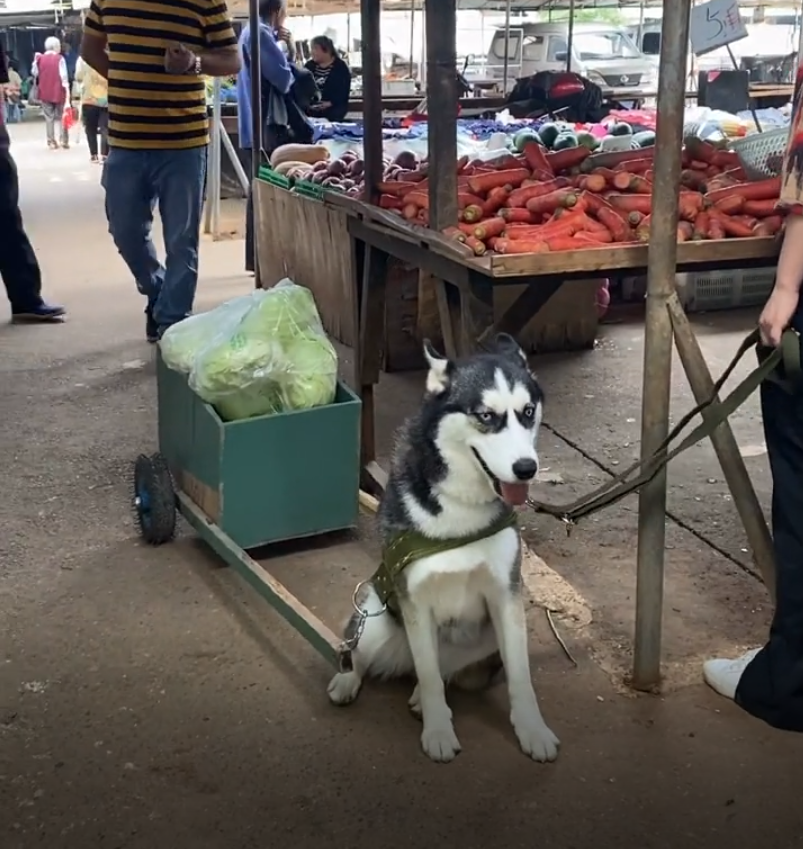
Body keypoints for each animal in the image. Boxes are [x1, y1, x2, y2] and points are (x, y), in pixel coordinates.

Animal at [326, 332, 560, 760]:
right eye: (485, 416)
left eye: (528, 411)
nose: (526, 469)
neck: (462, 506)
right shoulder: (415, 600)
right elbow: (430, 673)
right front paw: (438, 732)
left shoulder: (506, 597)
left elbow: (519, 677)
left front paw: (532, 730)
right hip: (376, 620)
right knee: (363, 651)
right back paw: (349, 679)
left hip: (485, 640)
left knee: (445, 670)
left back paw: (418, 695)